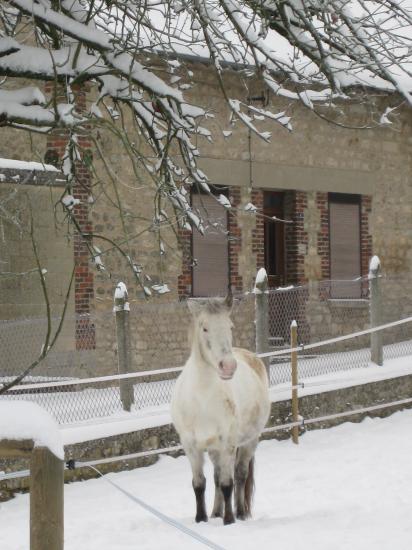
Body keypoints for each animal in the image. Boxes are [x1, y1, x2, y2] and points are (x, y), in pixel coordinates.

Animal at [171, 298, 270, 528]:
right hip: (214, 449)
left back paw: (240, 513)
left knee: (240, 475)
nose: (228, 366)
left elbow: (228, 483)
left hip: (249, 441)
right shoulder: (191, 446)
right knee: (216, 478)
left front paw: (229, 520)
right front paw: (201, 518)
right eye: (204, 328)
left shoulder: (228, 444)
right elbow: (199, 484)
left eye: (230, 326)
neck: (202, 399)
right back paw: (216, 512)